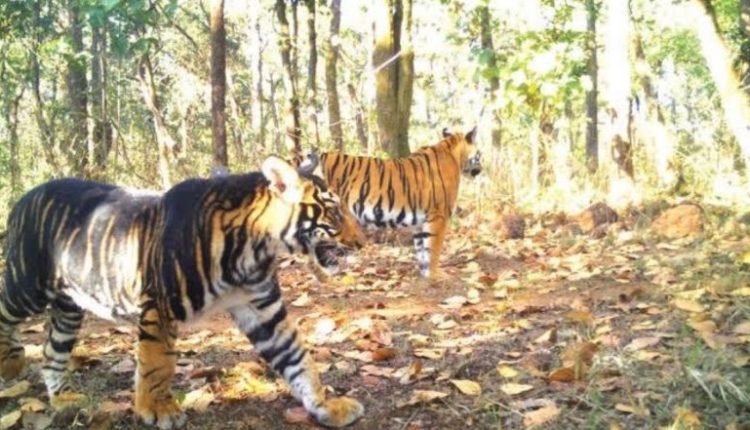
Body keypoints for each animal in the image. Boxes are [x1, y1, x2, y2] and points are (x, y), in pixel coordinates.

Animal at [0, 156, 364, 428]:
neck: (257, 249)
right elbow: (158, 362)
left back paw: (64, 399)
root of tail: (23, 198)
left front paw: (327, 406)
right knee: (6, 312)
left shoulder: (261, 307)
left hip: (69, 306)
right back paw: (11, 363)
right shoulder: (159, 304)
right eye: (333, 212)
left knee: (52, 353)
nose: (362, 242)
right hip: (27, 285)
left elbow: (298, 358)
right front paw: (157, 410)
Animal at [304, 127, 482, 280]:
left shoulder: (420, 221)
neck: (454, 153)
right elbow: (434, 249)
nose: (481, 168)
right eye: (479, 154)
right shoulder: (439, 216)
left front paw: (425, 274)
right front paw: (436, 275)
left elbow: (422, 249)